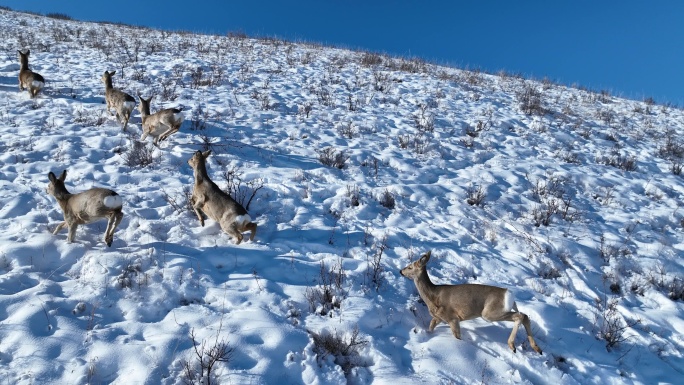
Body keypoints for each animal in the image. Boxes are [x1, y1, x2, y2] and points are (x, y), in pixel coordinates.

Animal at [398, 249, 544, 354]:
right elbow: (430, 327)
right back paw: (537, 349)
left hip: (489, 313)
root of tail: (509, 295)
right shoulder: (438, 318)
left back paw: (512, 346)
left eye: (410, 267)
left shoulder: (452, 317)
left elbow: (457, 336)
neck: (433, 296)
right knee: (525, 316)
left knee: (520, 315)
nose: (400, 271)